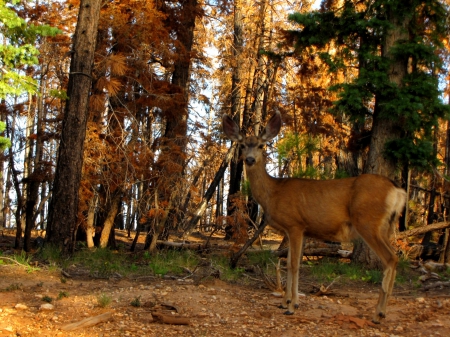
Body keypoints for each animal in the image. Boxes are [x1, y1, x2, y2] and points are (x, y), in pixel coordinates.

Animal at [222, 111, 408, 322]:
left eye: (261, 145)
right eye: (242, 145)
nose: (250, 159)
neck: (273, 193)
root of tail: (397, 191)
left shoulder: (295, 225)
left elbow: (294, 265)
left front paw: (291, 306)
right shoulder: (297, 230)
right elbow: (290, 264)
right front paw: (286, 302)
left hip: (368, 222)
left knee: (391, 258)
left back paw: (378, 313)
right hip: (386, 226)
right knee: (395, 256)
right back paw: (382, 311)